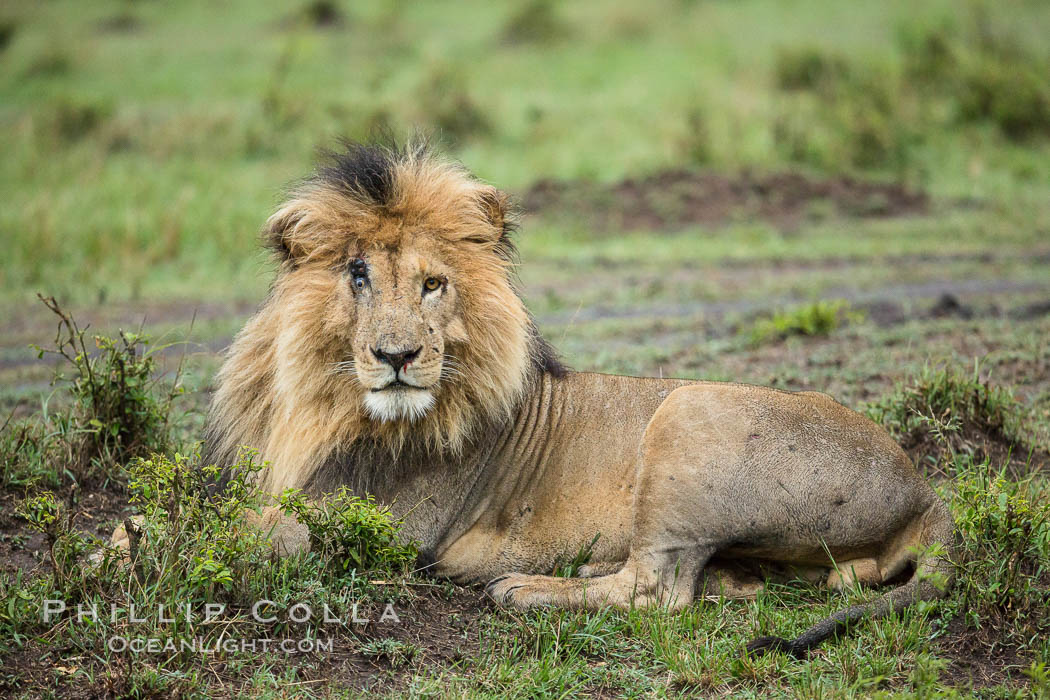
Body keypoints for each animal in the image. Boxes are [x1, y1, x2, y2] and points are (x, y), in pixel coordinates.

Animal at [195, 140, 953, 659]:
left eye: (433, 284)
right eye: (357, 276)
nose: (397, 356)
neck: (323, 404)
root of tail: (923, 488)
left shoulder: (395, 528)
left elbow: (263, 533)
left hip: (689, 410)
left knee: (656, 592)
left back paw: (526, 588)